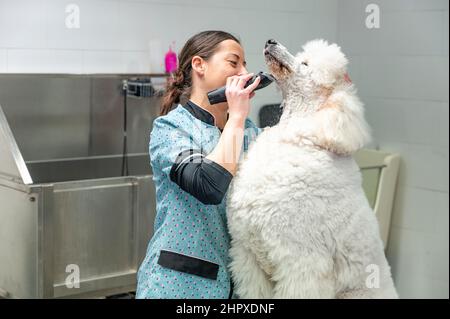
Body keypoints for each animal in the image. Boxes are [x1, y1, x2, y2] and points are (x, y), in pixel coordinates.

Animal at [229, 40, 398, 300]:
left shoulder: (301, 262)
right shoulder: (248, 256)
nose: (271, 41)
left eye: (306, 64)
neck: (304, 136)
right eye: (302, 56)